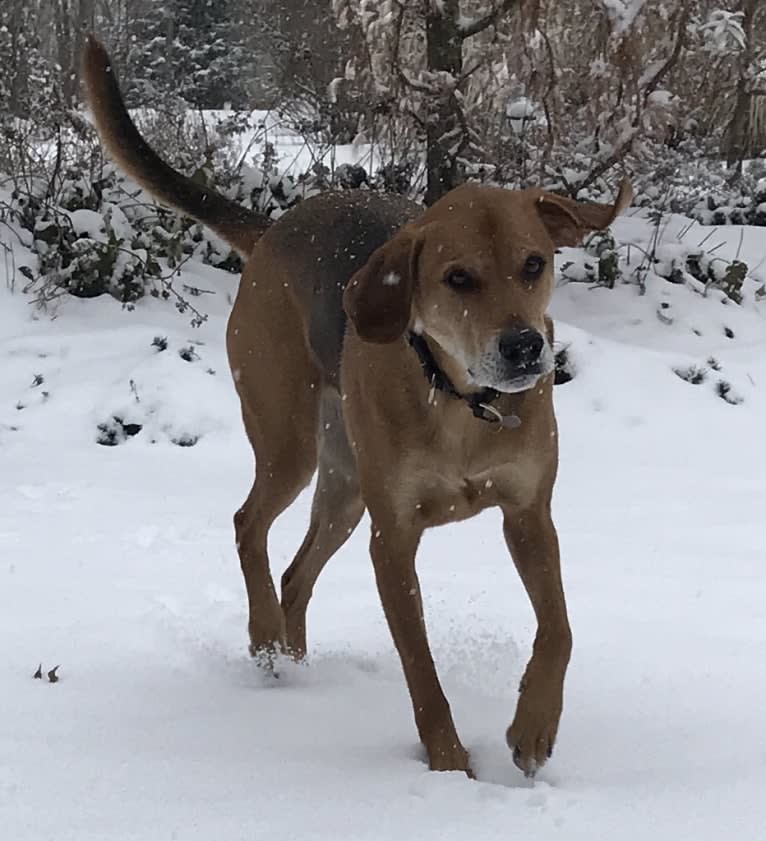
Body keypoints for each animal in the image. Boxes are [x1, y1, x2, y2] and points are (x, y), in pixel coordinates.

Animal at [84, 37, 632, 776]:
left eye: (534, 264)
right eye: (458, 278)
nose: (523, 348)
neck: (458, 403)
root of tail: (276, 227)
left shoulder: (528, 514)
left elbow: (561, 629)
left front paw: (534, 727)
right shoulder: (392, 538)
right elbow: (421, 668)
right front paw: (449, 762)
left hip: (343, 488)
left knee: (295, 572)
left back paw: (294, 659)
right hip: (290, 441)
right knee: (248, 525)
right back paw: (264, 636)